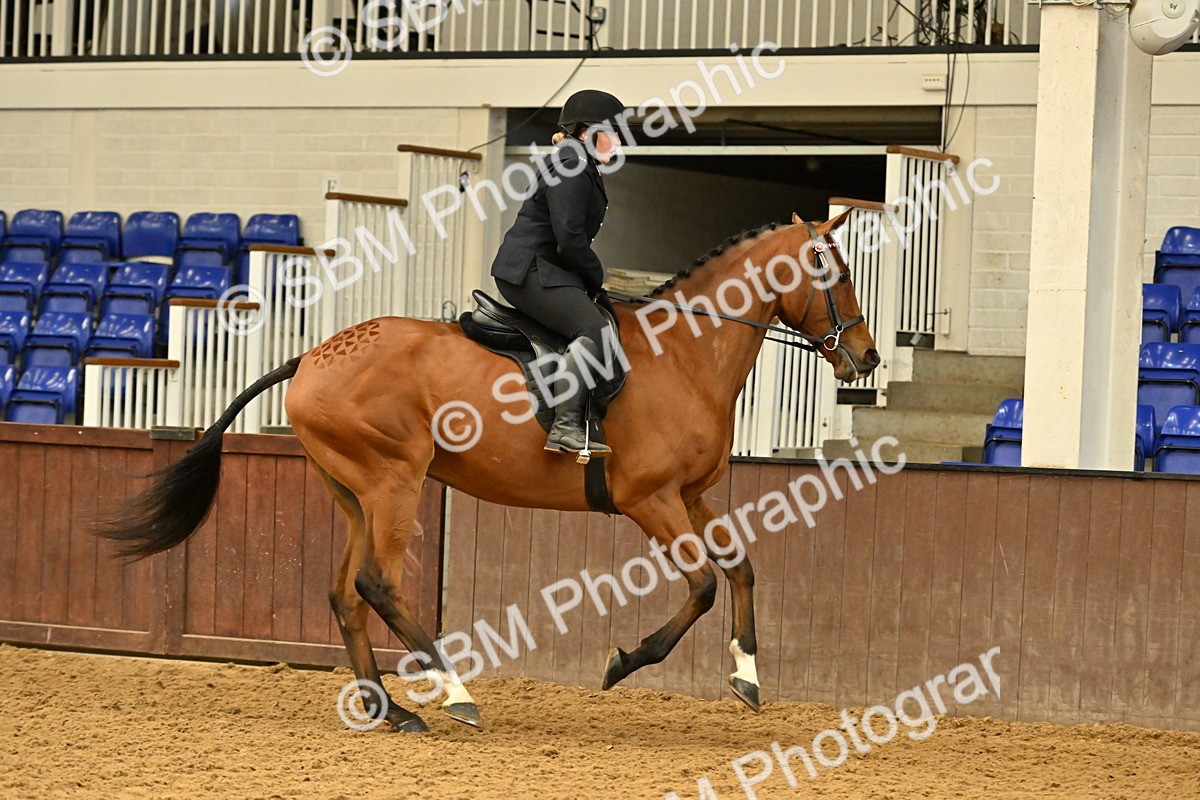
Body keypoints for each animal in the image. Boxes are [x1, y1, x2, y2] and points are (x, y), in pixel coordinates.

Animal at [98, 211, 879, 733]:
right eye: (830, 270)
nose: (867, 358)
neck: (684, 354)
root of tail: (315, 355)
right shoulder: (648, 499)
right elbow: (702, 586)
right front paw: (623, 662)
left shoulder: (692, 495)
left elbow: (741, 569)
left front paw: (747, 676)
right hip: (395, 482)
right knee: (378, 585)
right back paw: (455, 695)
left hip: (354, 493)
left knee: (345, 594)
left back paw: (390, 711)